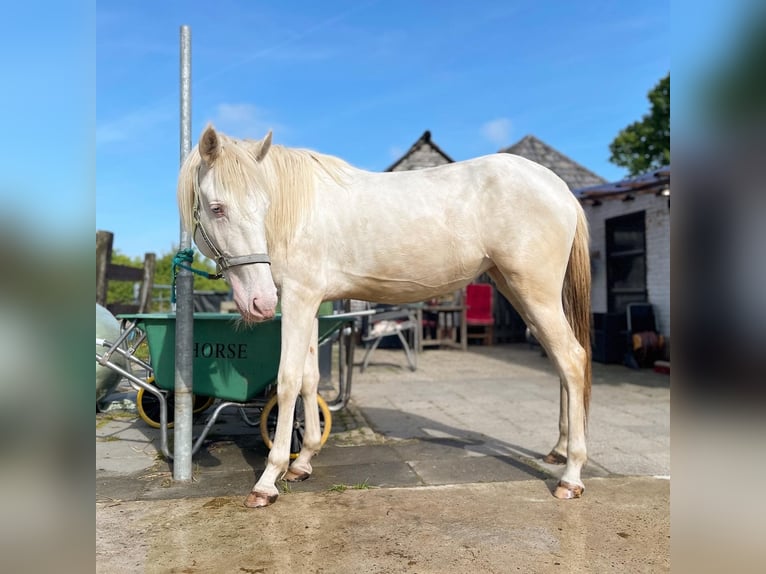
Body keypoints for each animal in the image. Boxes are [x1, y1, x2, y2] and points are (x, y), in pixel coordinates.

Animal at [178, 126, 592, 508]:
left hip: (535, 292)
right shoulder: (311, 303)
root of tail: (560, 188)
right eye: (217, 208)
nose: (261, 303)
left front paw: (268, 479)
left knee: (573, 360)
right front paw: (303, 461)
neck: (298, 212)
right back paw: (558, 450)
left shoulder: (298, 298)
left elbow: (288, 381)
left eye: (263, 205)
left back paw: (571, 475)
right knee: (560, 363)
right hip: (520, 291)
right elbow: (310, 380)